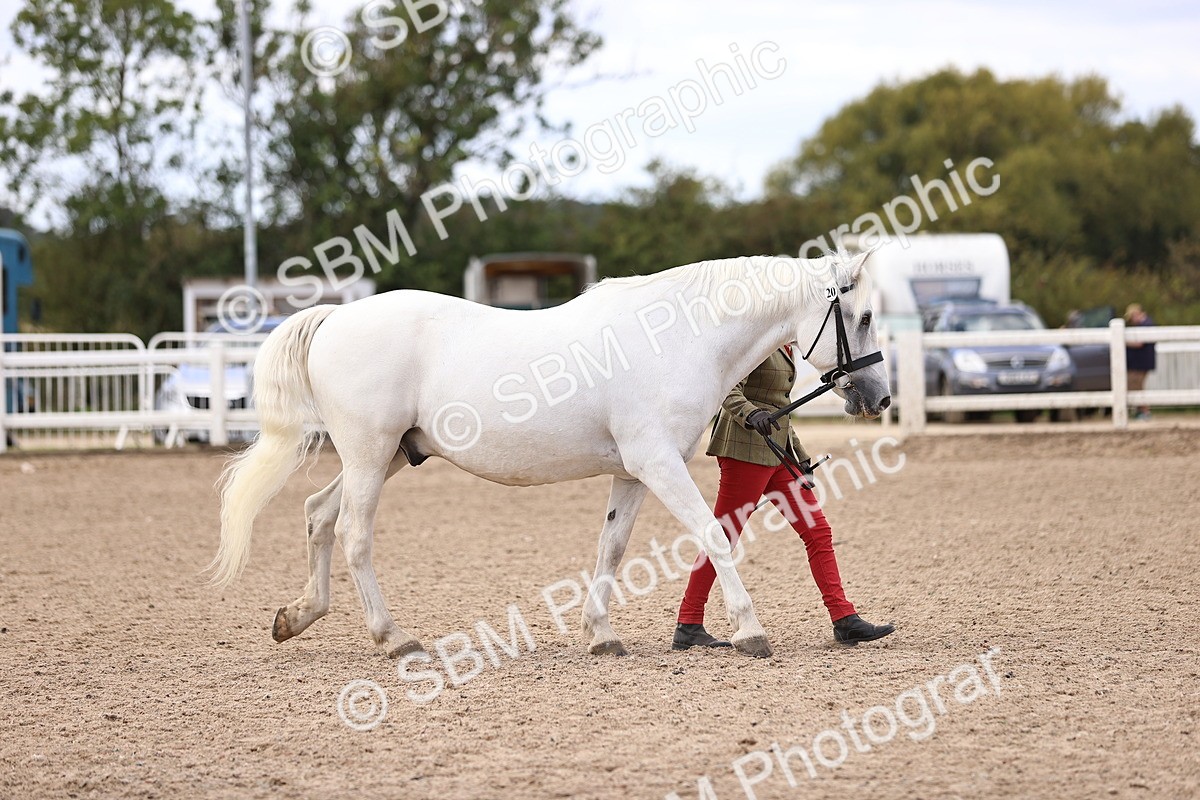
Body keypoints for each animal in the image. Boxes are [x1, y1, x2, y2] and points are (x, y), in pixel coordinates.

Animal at [210, 251, 890, 659]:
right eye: (861, 316)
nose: (879, 396)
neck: (676, 338)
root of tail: (334, 318)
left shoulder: (633, 473)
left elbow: (612, 548)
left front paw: (601, 635)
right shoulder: (659, 465)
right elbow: (713, 536)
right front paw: (750, 630)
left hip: (383, 457)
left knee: (318, 514)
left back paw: (297, 617)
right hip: (369, 455)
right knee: (353, 534)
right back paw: (394, 638)